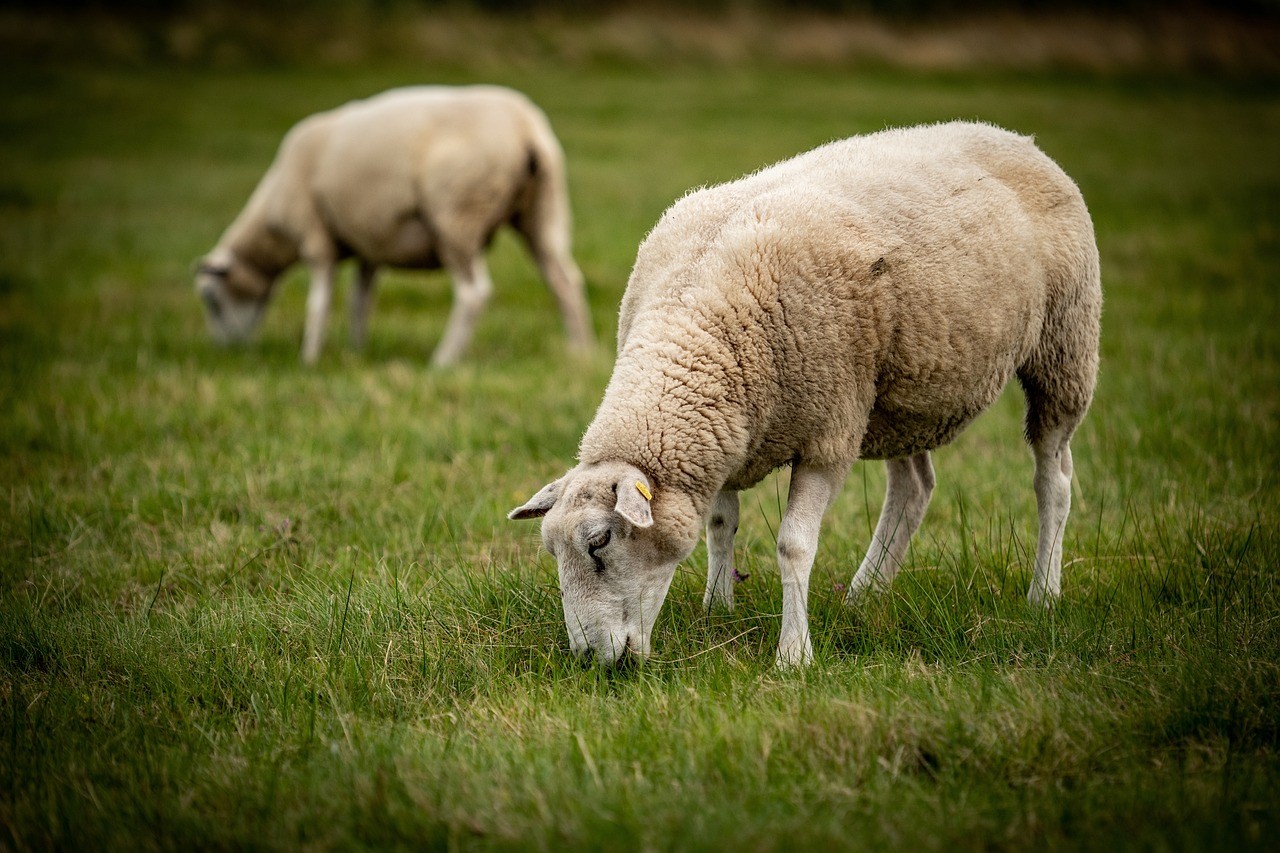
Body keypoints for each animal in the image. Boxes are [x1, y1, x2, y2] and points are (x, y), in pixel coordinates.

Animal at [194, 83, 593, 366]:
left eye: (211, 299)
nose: (226, 351)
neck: (271, 232)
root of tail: (524, 128)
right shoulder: (368, 244)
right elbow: (359, 300)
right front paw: (357, 350)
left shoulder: (315, 237)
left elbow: (318, 303)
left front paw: (309, 359)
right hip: (543, 211)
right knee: (564, 281)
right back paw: (578, 352)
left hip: (458, 213)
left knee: (473, 292)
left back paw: (444, 360)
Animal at [509, 119, 1100, 666]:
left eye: (600, 543)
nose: (589, 660)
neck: (694, 329)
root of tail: (1013, 138)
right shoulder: (726, 430)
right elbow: (720, 524)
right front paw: (717, 610)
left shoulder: (827, 436)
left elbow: (793, 545)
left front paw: (794, 654)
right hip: (897, 395)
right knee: (913, 487)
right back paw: (863, 595)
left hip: (1064, 347)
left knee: (1053, 478)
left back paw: (1042, 595)